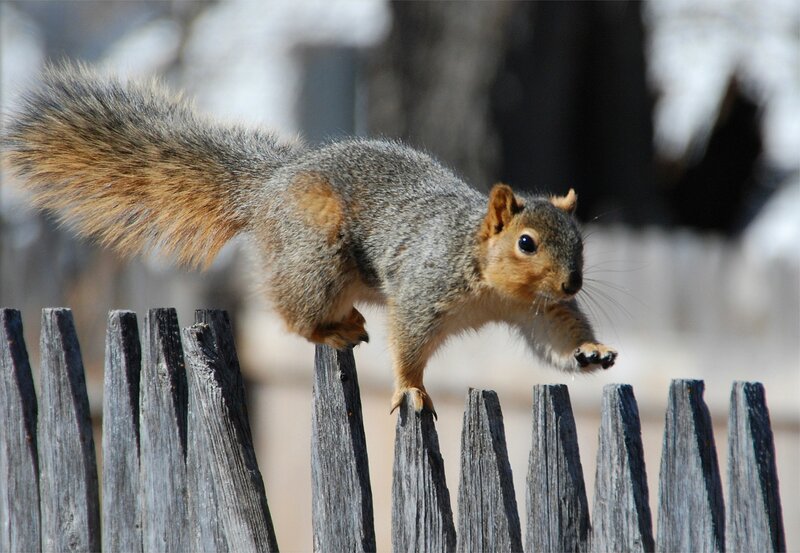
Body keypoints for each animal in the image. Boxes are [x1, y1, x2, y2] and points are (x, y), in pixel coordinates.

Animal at [1, 64, 616, 414]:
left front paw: (590, 351)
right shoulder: (424, 289)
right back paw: (332, 328)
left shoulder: (537, 310)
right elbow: (409, 343)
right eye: (526, 243)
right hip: (316, 256)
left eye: (580, 241)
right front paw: (411, 390)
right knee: (292, 313)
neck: (491, 283)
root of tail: (268, 188)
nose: (572, 282)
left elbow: (555, 336)